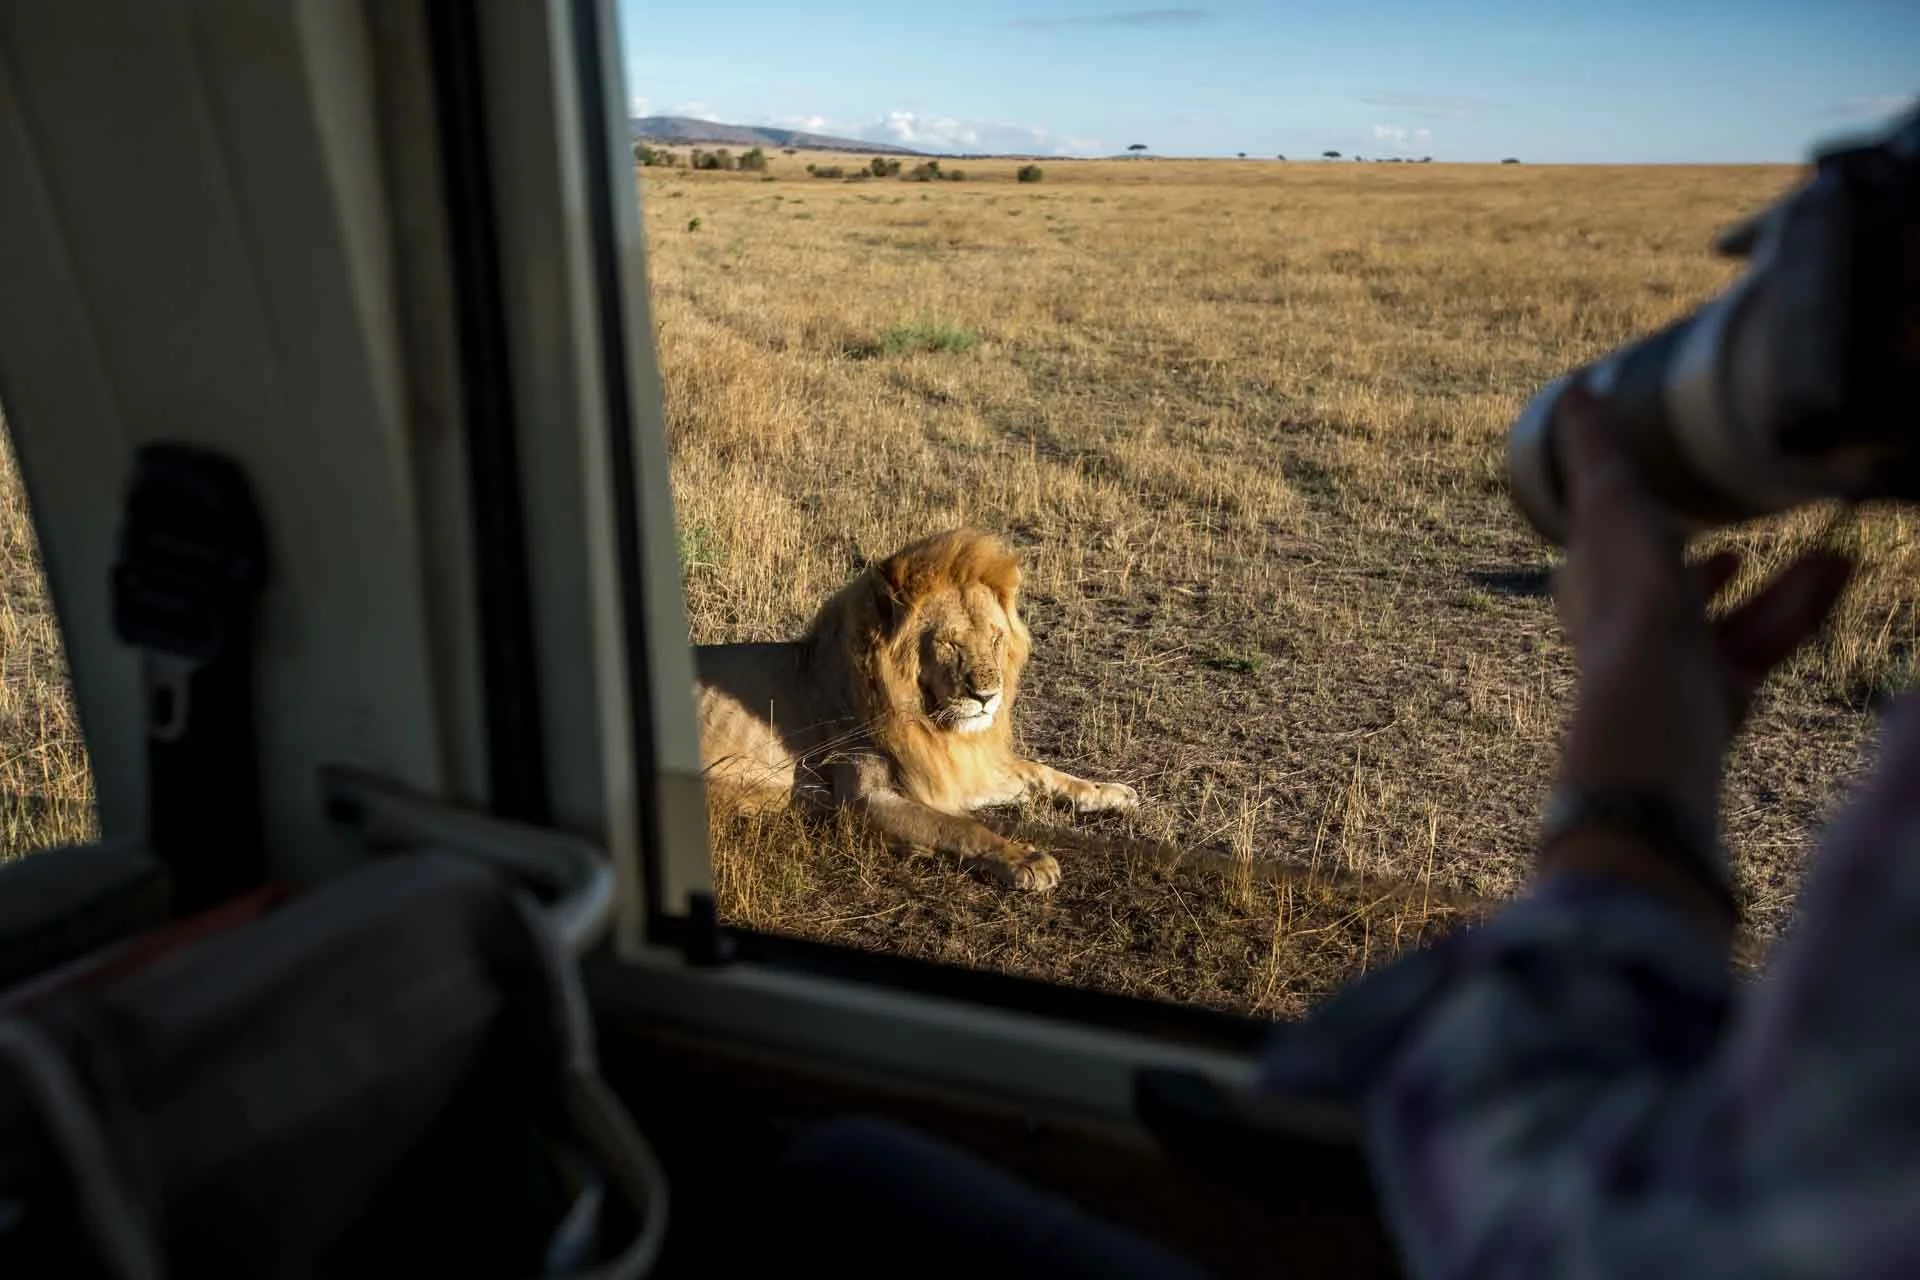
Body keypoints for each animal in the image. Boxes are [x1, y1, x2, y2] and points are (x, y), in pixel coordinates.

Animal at [692, 526, 1139, 890]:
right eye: (949, 643)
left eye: (995, 640)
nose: (987, 697)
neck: (932, 724)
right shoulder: (863, 800)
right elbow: (959, 826)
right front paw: (1026, 859)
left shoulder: (956, 767)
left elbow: (1040, 772)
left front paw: (1110, 792)